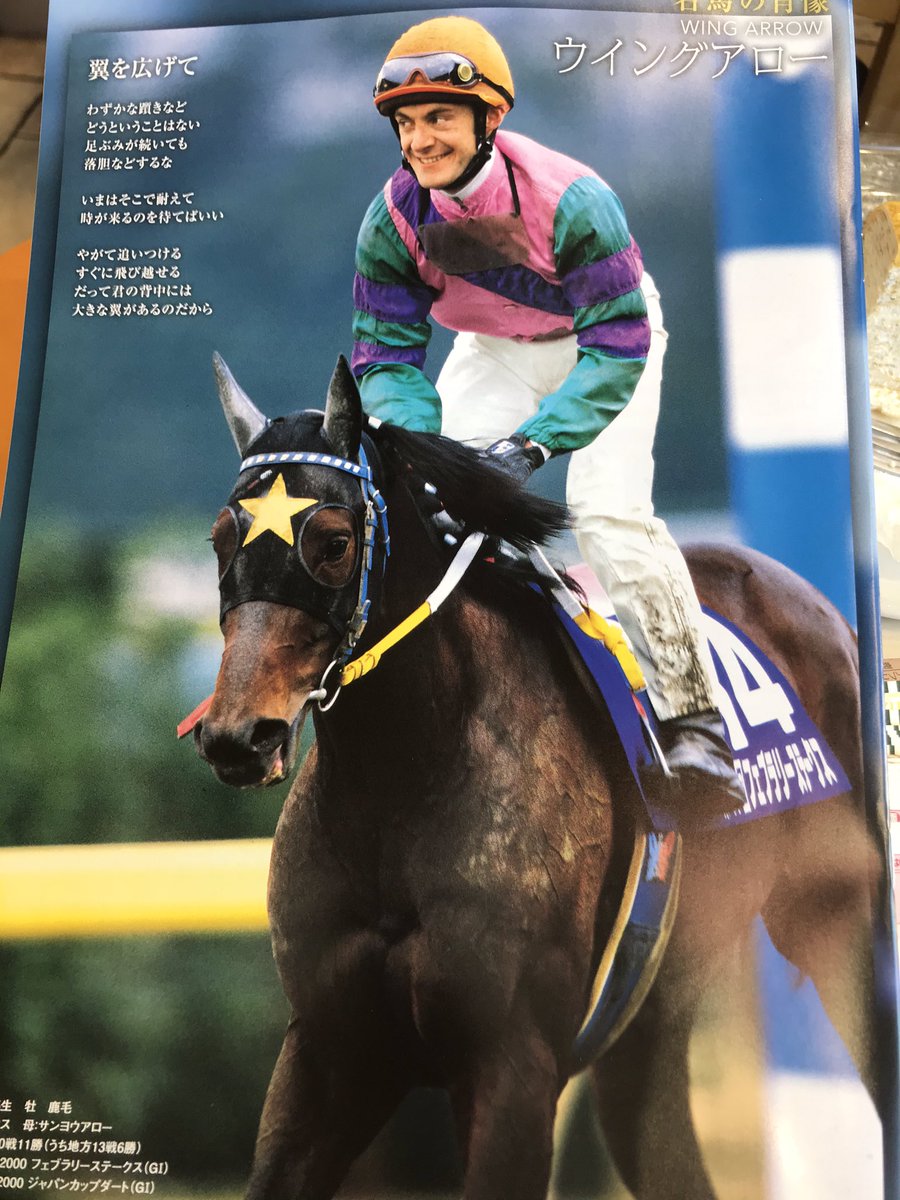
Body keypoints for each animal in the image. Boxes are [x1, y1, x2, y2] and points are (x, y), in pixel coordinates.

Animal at [193, 353, 886, 1200]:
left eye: (332, 540)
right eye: (221, 537)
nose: (238, 735)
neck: (403, 782)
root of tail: (827, 614)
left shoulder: (511, 1065)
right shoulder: (330, 1050)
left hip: (839, 923)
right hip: (646, 1029)